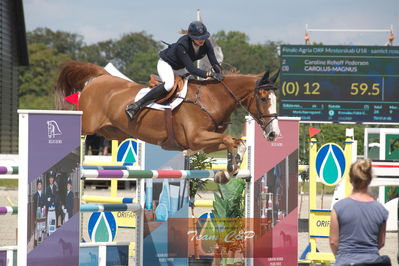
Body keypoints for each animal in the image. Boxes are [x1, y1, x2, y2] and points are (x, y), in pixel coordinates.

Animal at [55, 61, 282, 184]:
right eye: (263, 99)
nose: (274, 134)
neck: (213, 98)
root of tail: (99, 79)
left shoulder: (207, 144)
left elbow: (236, 142)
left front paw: (226, 173)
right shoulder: (196, 138)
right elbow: (230, 140)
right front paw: (227, 172)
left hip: (112, 131)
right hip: (87, 125)